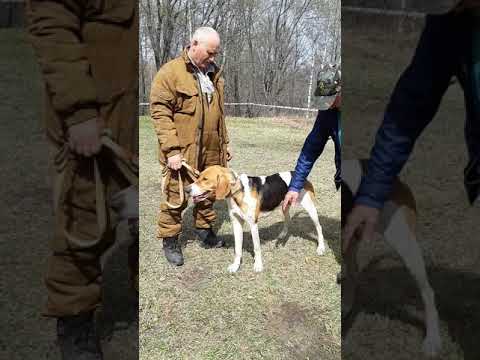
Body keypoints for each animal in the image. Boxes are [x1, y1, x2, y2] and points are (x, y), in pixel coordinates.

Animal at [186, 166, 324, 272]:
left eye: (205, 179)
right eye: (198, 176)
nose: (187, 189)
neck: (238, 191)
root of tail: (297, 174)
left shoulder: (253, 224)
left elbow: (256, 248)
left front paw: (258, 266)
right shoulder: (236, 223)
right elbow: (237, 249)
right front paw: (236, 266)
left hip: (310, 208)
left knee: (319, 227)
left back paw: (321, 248)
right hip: (285, 205)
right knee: (288, 219)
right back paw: (282, 235)